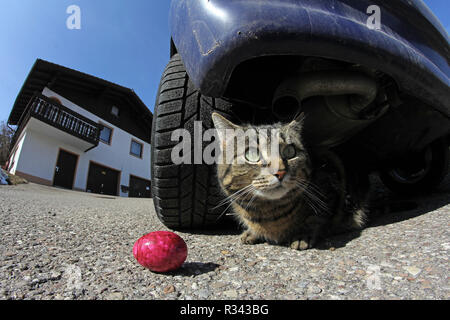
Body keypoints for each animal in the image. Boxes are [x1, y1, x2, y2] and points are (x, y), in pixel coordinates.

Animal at [211, 112, 370, 250]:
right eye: (252, 154)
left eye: (290, 151)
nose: (280, 172)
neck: (268, 212)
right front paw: (252, 232)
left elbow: (315, 218)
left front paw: (301, 235)